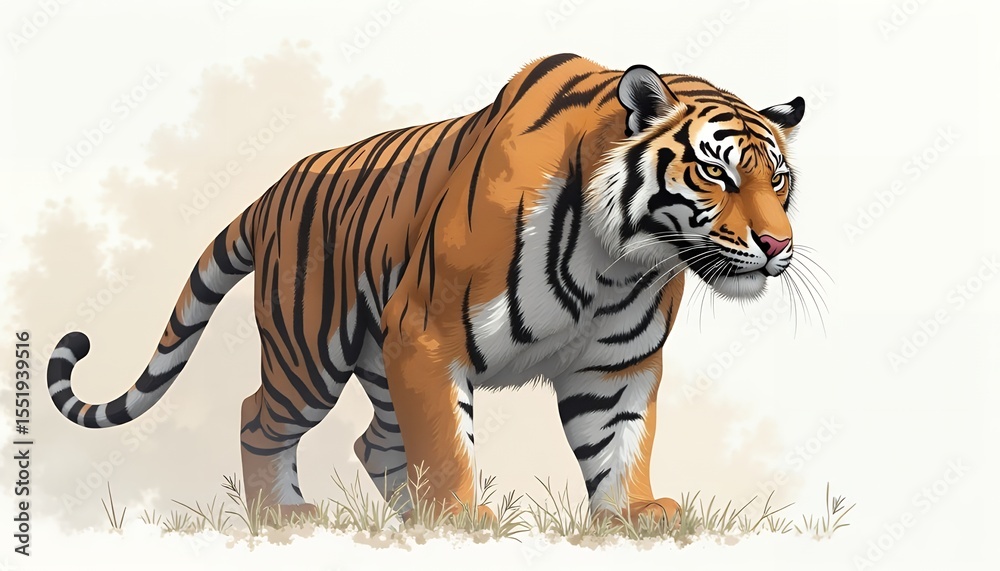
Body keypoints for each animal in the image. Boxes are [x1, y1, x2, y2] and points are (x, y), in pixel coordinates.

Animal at [47, 53, 805, 523]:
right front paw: (464, 517)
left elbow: (619, 443)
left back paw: (411, 521)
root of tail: (270, 192)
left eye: (779, 179)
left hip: (377, 363)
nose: (778, 245)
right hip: (311, 353)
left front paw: (633, 514)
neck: (618, 260)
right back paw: (283, 516)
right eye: (716, 173)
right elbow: (447, 439)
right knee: (257, 416)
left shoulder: (616, 363)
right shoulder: (427, 334)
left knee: (375, 443)